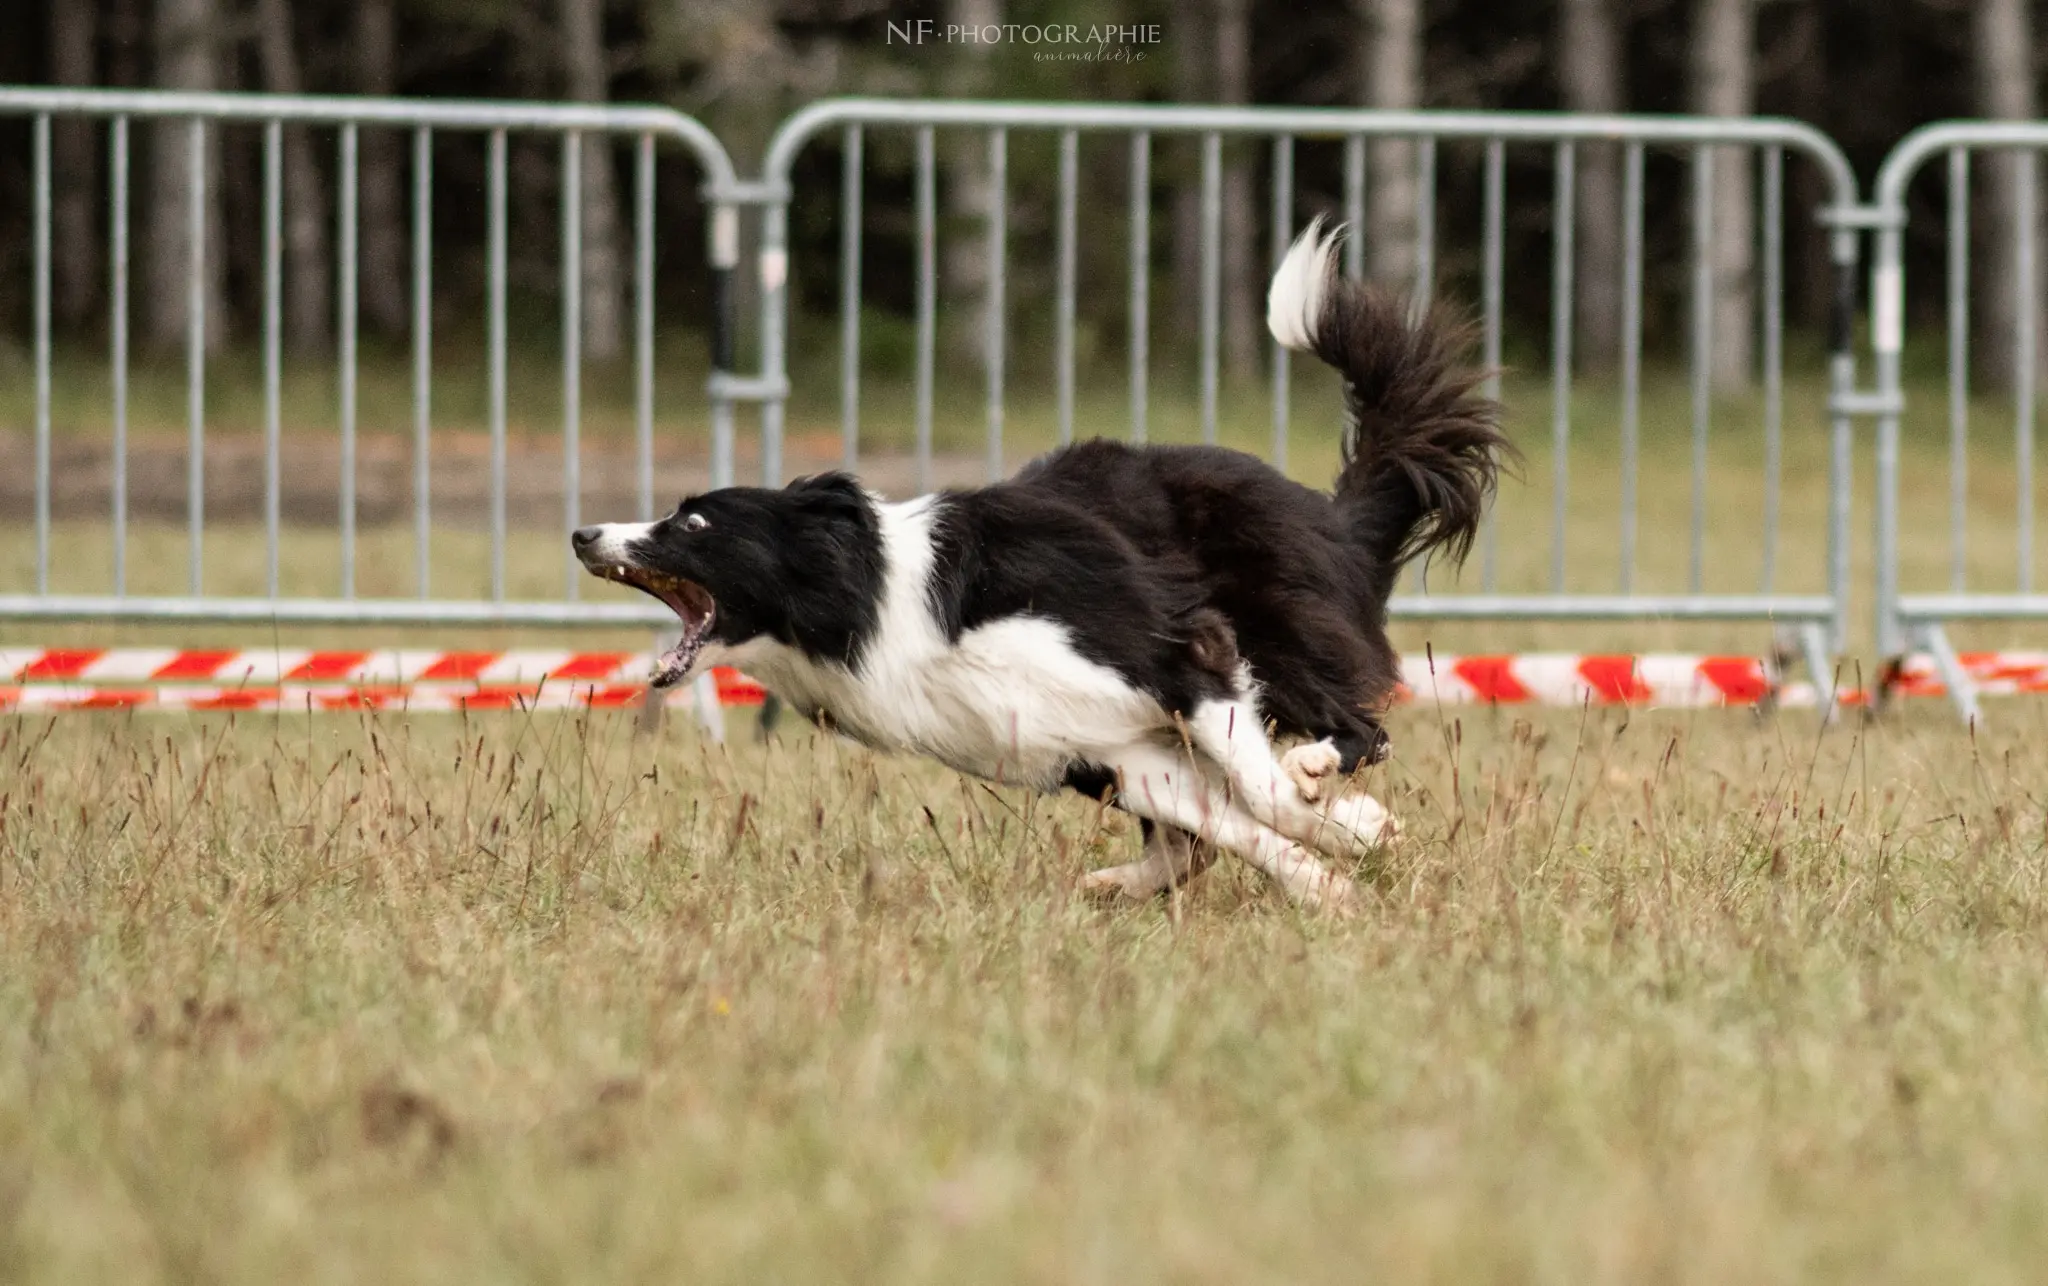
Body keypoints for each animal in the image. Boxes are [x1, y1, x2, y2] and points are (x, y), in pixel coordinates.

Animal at [573, 218, 1507, 905]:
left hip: (1281, 633)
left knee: (1355, 731)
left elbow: (1260, 794)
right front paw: (1332, 873)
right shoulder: (1100, 747)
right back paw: (1134, 877)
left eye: (692, 521)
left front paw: (1345, 829)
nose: (584, 535)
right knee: (1198, 840)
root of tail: (1329, 512)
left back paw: (1318, 777)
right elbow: (1231, 823)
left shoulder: (1173, 651)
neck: (867, 598)